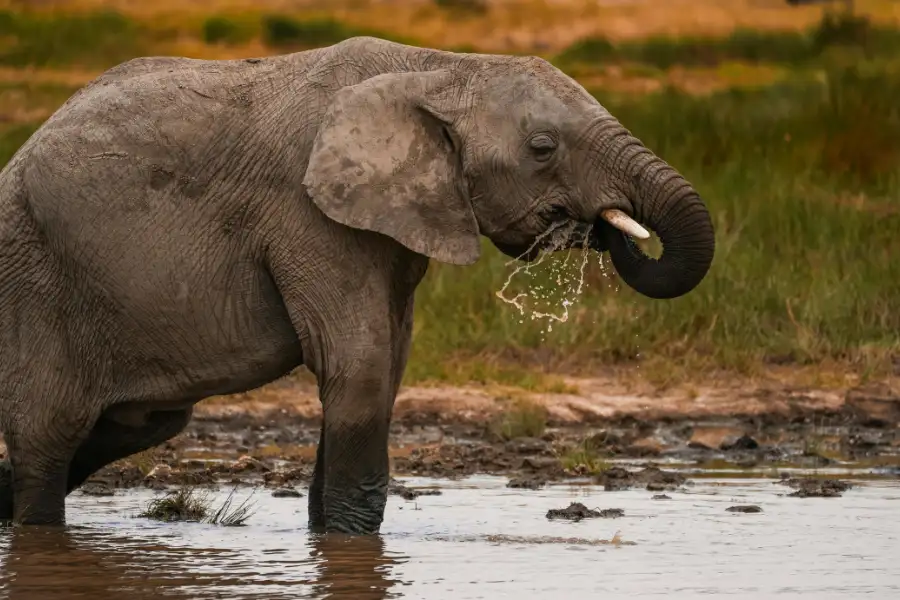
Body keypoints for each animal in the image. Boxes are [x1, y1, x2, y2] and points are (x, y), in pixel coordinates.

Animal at [0, 36, 714, 534]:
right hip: (35, 281)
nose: (603, 223)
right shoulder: (308, 214)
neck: (440, 68)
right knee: (52, 439)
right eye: (543, 148)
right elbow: (361, 366)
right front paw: (348, 542)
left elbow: (389, 364)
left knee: (138, 425)